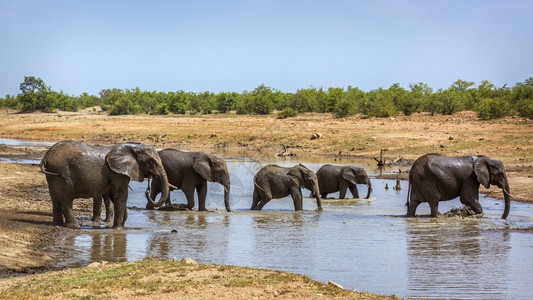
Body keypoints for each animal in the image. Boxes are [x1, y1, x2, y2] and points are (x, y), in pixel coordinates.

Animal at [39, 140, 168, 227]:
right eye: (150, 162)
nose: (147, 191)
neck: (133, 147)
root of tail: (46, 157)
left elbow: (114, 195)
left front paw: (121, 225)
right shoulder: (116, 173)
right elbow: (120, 195)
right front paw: (118, 229)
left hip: (53, 174)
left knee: (55, 198)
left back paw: (58, 224)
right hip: (63, 173)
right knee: (67, 199)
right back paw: (75, 227)